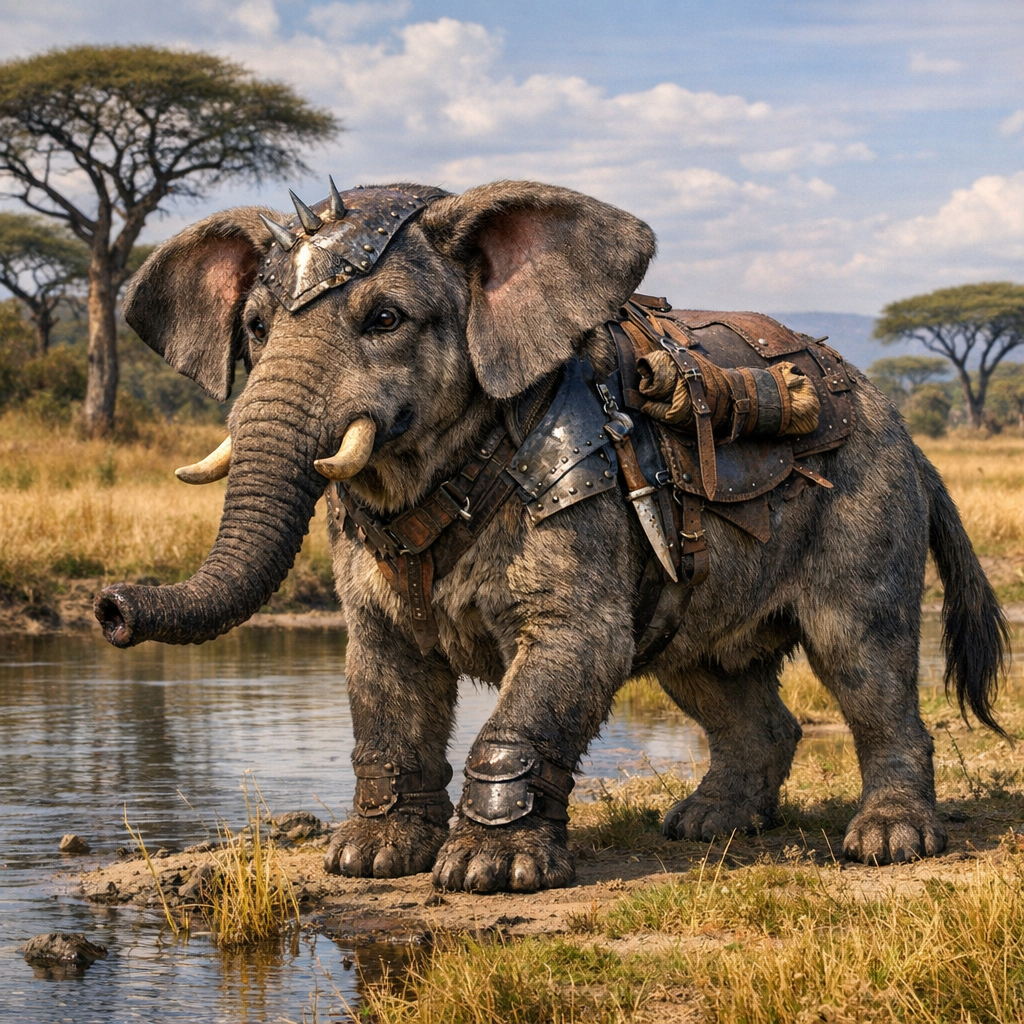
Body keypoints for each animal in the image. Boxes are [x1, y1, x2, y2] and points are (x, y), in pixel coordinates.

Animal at [95, 179, 1007, 893]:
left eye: (384, 318)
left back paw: (887, 843)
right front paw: (371, 860)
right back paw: (706, 826)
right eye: (253, 328)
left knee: (865, 662)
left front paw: (486, 873)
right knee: (714, 680)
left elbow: (569, 653)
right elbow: (382, 677)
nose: (111, 608)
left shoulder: (580, 490)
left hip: (868, 504)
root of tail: (907, 433)